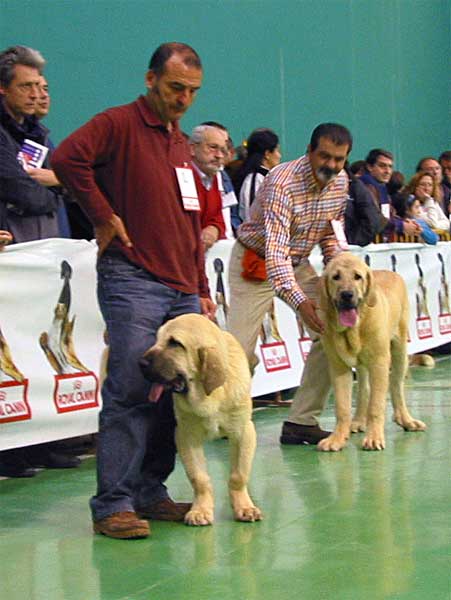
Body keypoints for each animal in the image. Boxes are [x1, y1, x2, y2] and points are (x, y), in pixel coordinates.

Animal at [139, 314, 264, 524]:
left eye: (175, 343)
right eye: (157, 339)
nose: (140, 363)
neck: (209, 395)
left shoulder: (243, 432)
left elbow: (238, 475)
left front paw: (244, 507)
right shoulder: (186, 436)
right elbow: (199, 478)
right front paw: (200, 510)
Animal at [318, 251, 428, 452]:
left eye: (357, 277)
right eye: (335, 277)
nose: (347, 294)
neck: (353, 329)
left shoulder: (379, 363)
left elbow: (376, 406)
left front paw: (374, 438)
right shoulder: (339, 367)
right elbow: (342, 407)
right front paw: (337, 438)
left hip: (399, 351)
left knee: (396, 386)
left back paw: (406, 421)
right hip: (362, 366)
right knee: (364, 389)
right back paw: (358, 421)